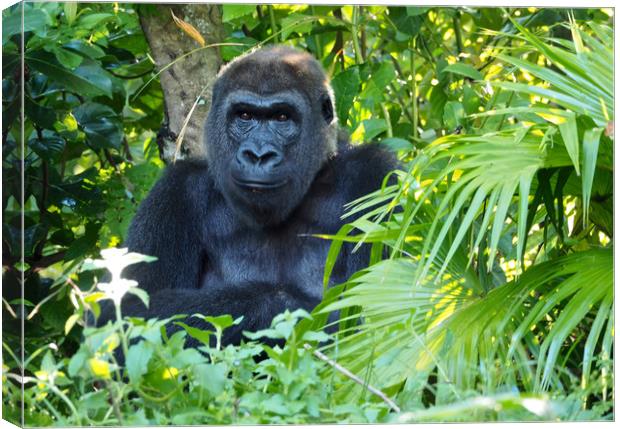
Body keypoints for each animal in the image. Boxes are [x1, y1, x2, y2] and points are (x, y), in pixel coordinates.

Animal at [100, 46, 392, 344]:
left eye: (282, 118)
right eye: (245, 116)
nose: (259, 154)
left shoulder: (375, 174)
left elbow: (380, 318)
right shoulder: (176, 189)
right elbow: (125, 313)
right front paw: (285, 308)